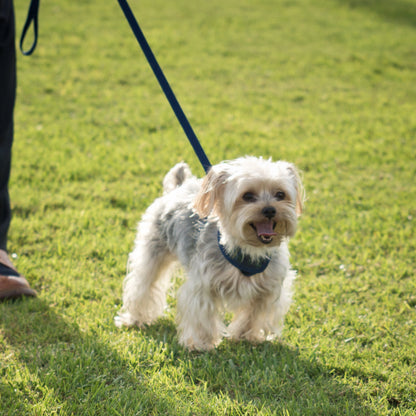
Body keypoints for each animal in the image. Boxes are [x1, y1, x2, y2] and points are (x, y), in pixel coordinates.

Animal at [115, 157, 304, 352]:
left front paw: (246, 336)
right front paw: (200, 344)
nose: (270, 210)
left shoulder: (268, 288)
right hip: (152, 251)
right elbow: (201, 314)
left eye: (280, 194)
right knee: (142, 285)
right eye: (248, 196)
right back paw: (135, 318)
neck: (250, 249)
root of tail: (179, 186)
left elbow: (254, 314)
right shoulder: (203, 284)